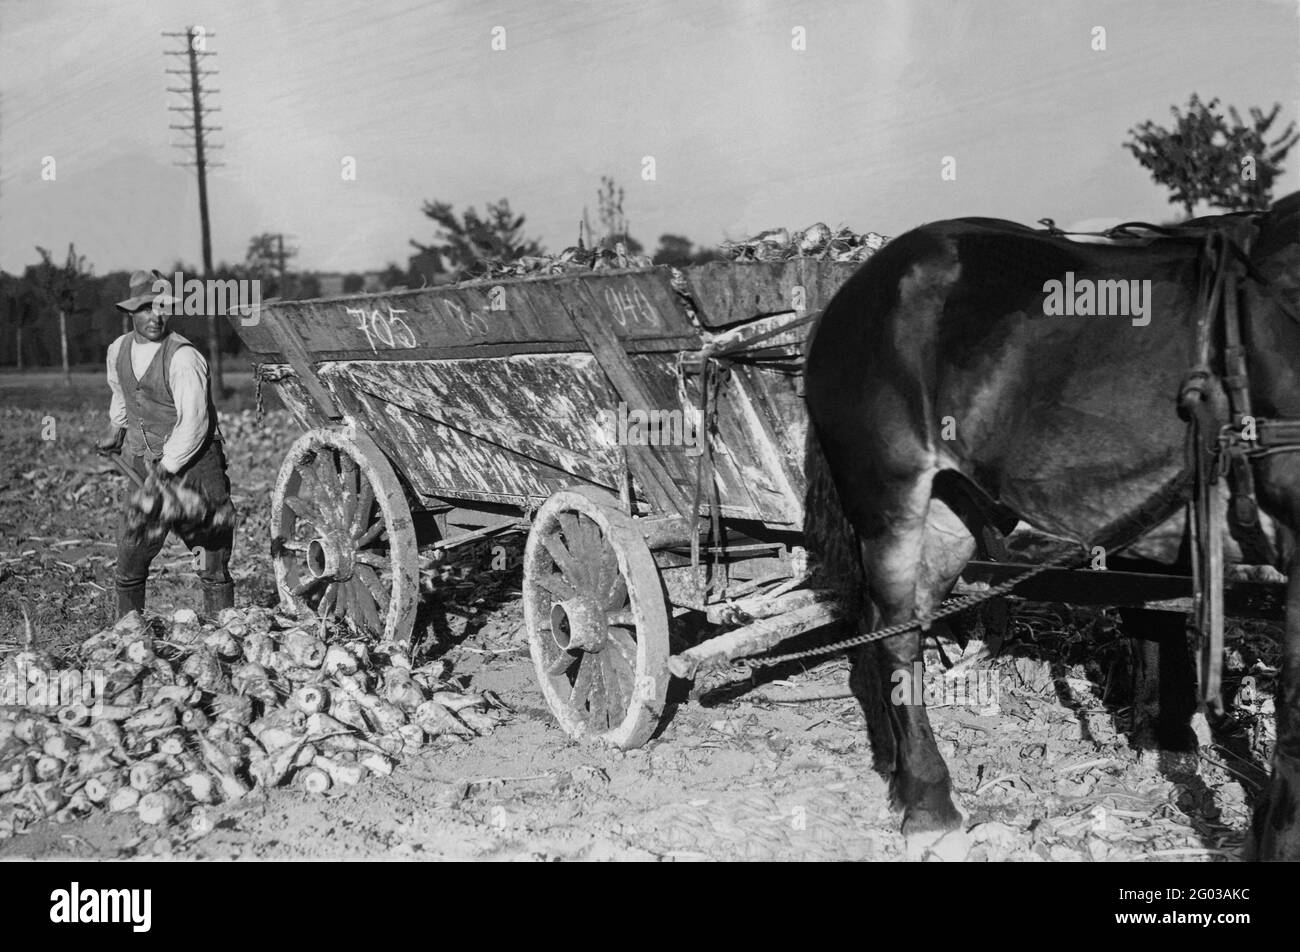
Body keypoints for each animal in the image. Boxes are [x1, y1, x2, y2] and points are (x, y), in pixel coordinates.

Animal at [800, 189, 1300, 858]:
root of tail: (854, 290)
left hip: (951, 513)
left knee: (890, 625)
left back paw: (901, 771)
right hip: (890, 499)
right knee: (897, 637)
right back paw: (930, 803)